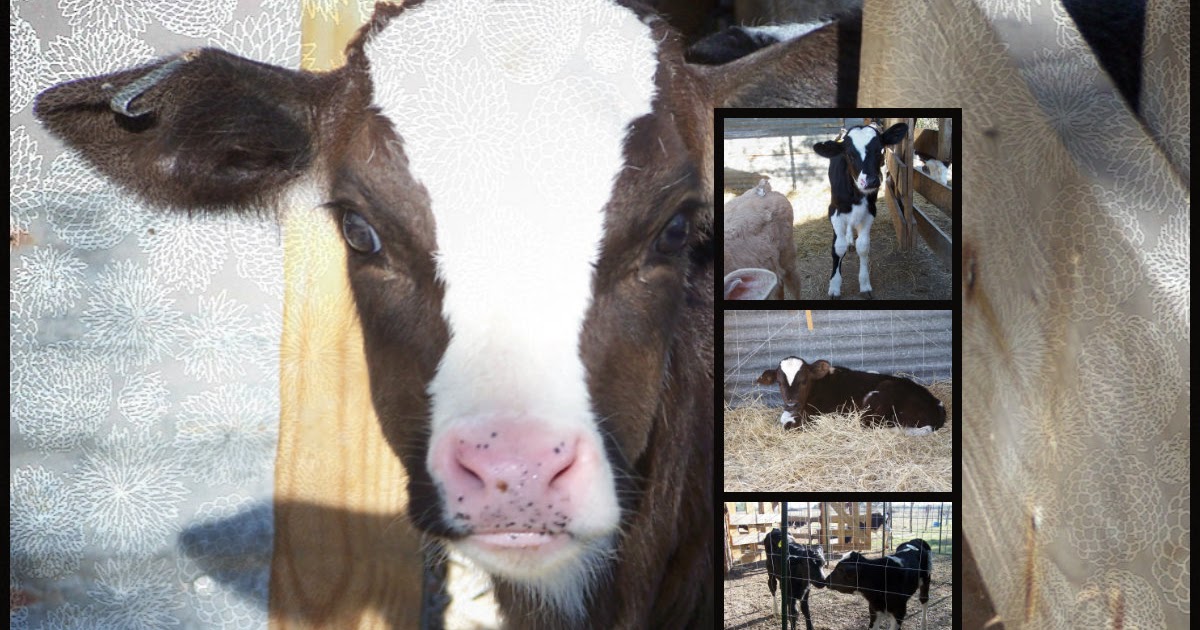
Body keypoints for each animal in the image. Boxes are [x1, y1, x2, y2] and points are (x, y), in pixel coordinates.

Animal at [756, 356, 946, 434]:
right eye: (779, 383)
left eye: (803, 381)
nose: (791, 404)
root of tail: (937, 406)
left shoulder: (817, 415)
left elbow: (787, 423)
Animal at [813, 122, 908, 299]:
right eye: (849, 154)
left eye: (881, 150)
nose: (871, 181)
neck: (856, 195)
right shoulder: (833, 211)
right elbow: (838, 247)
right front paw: (834, 286)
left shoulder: (870, 211)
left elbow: (863, 247)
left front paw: (864, 284)